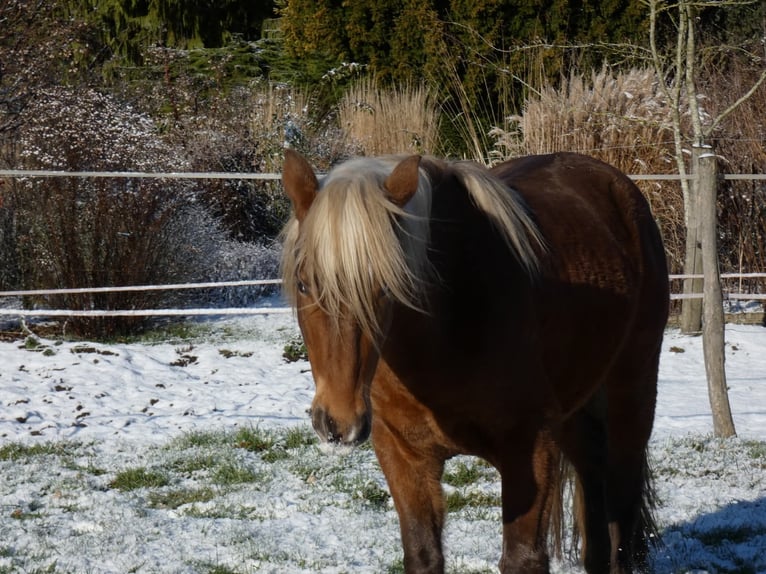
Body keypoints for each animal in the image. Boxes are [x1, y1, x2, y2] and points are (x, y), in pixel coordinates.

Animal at [280, 149, 669, 574]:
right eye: (303, 283)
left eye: (385, 287)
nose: (338, 423)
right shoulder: (403, 455)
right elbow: (423, 553)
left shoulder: (532, 451)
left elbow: (523, 558)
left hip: (632, 396)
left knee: (622, 515)